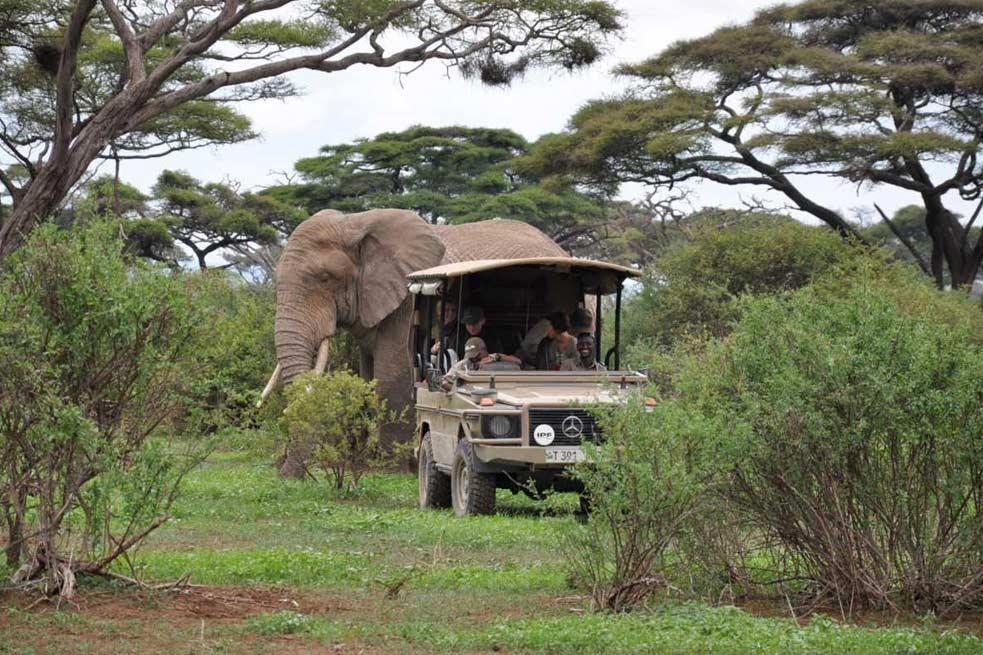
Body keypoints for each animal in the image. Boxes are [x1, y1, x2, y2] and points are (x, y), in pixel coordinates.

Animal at [262, 209, 568, 476]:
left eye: (325, 279)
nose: (285, 473)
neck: (355, 223)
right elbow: (367, 378)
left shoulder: (406, 301)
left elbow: (390, 375)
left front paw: (391, 468)